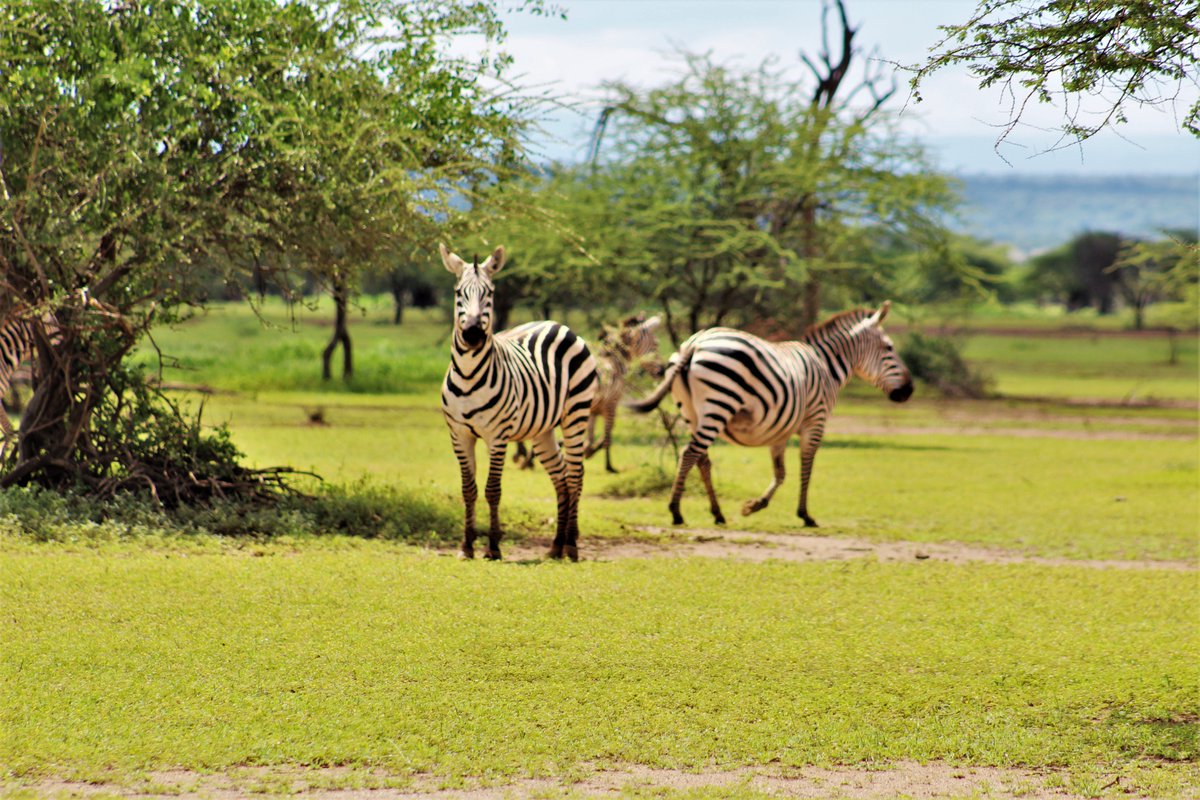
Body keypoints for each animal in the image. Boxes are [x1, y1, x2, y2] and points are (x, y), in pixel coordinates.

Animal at [439, 243, 598, 561]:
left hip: (576, 414)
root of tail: (556, 323)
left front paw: (493, 547)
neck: (468, 375)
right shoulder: (459, 435)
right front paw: (466, 546)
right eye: (459, 292)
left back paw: (571, 545)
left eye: (489, 293)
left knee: (575, 476)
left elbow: (492, 489)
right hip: (542, 430)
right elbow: (468, 489)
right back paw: (555, 546)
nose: (472, 334)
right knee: (561, 478)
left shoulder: (497, 436)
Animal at [627, 302, 913, 528]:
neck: (826, 366)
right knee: (690, 453)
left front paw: (754, 506)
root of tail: (694, 343)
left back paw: (717, 513)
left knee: (701, 459)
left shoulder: (780, 430)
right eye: (889, 348)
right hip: (719, 403)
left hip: (691, 412)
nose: (909, 390)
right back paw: (676, 511)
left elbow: (781, 473)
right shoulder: (815, 421)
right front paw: (805, 515)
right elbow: (806, 467)